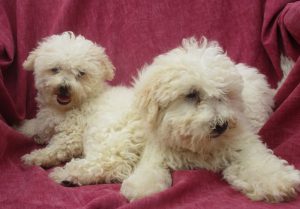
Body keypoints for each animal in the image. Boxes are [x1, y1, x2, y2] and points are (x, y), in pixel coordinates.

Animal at [19, 31, 115, 167]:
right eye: (55, 69)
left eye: (81, 73)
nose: (64, 87)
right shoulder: (46, 121)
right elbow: (36, 125)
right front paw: (21, 126)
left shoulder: (71, 136)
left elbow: (55, 149)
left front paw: (34, 157)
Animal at [50, 37, 298, 202]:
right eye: (192, 95)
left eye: (224, 96)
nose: (221, 125)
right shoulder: (156, 148)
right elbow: (149, 172)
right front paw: (141, 187)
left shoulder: (243, 139)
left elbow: (260, 162)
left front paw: (279, 182)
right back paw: (66, 174)